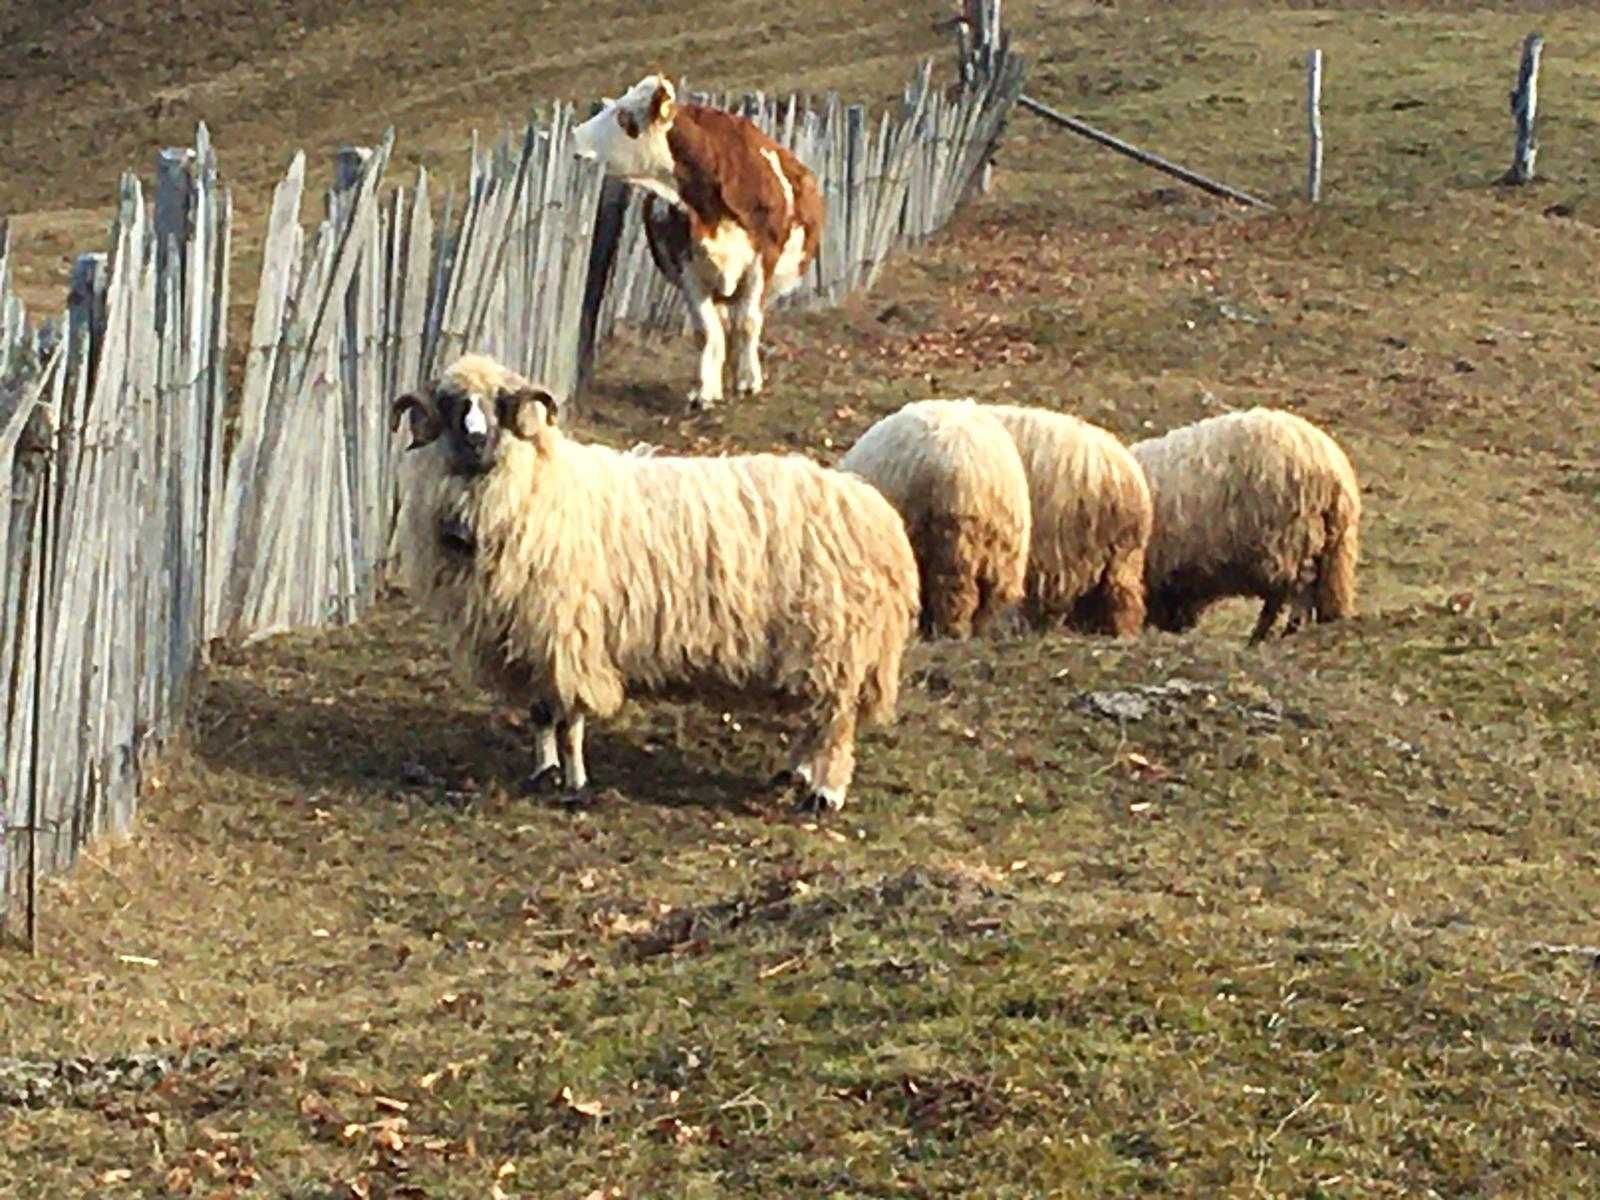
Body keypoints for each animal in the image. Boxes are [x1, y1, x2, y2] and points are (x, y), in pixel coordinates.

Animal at [387, 352, 921, 812]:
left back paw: (823, 794)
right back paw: (796, 774)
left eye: (498, 404)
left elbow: (570, 719)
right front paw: (543, 773)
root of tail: (873, 510)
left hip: (838, 644)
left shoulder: (572, 634)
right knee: (816, 719)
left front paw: (575, 783)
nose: (476, 440)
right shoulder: (533, 639)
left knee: (836, 722)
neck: (535, 489)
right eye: (452, 405)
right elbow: (542, 714)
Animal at [576, 77, 825, 412]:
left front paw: (748, 382)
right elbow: (707, 331)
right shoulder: (688, 269)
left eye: (624, 117)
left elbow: (748, 322)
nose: (575, 138)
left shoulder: (762, 261)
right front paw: (705, 392)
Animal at [832, 396, 1030, 643]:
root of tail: (966, 472)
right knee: (991, 601)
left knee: (952, 593)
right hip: (1002, 555)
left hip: (948, 544)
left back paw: (951, 632)